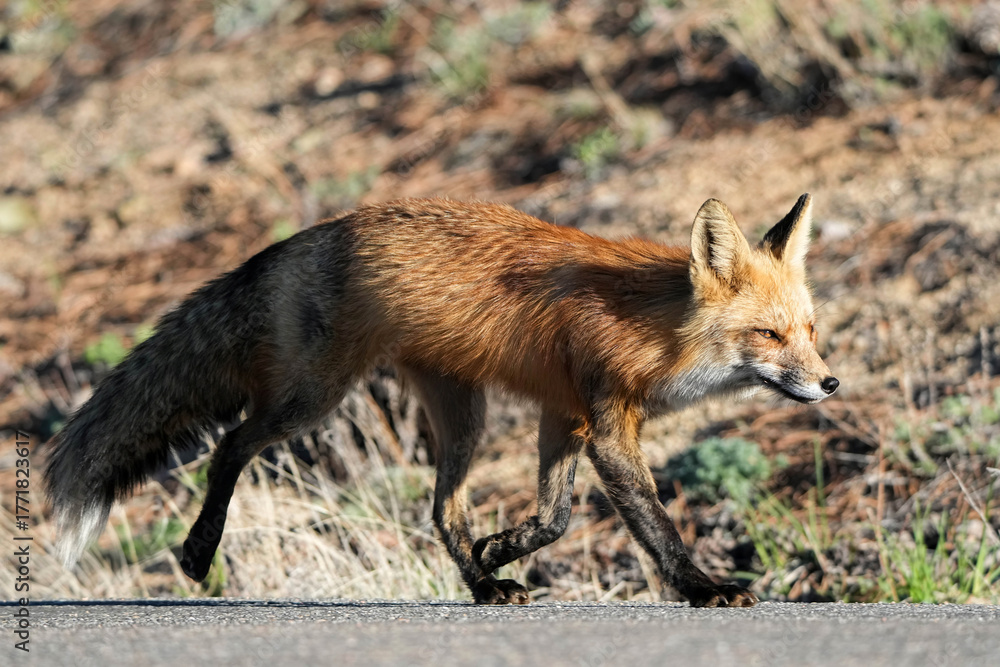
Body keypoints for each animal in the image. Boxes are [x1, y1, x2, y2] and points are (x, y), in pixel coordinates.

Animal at [45, 194, 837, 607]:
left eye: (810, 331)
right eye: (768, 334)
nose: (830, 384)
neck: (654, 327)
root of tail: (306, 235)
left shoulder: (565, 415)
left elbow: (554, 517)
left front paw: (504, 546)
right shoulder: (607, 423)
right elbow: (653, 526)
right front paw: (702, 587)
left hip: (464, 415)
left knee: (441, 510)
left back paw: (485, 584)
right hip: (313, 397)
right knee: (231, 445)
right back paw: (198, 550)